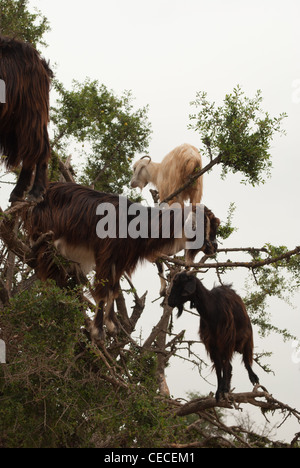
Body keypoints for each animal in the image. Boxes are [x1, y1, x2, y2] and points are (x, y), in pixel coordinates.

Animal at [25, 182, 220, 340]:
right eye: (204, 225)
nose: (214, 247)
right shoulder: (106, 254)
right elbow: (104, 290)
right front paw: (98, 330)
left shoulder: (120, 259)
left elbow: (114, 289)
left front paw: (112, 324)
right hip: (46, 234)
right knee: (44, 265)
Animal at [168, 272, 258, 400]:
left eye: (180, 283)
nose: (170, 301)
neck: (212, 310)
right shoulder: (212, 345)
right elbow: (218, 368)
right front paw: (219, 391)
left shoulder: (227, 341)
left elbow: (224, 365)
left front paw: (223, 389)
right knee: (229, 366)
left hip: (247, 339)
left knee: (246, 359)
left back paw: (253, 378)